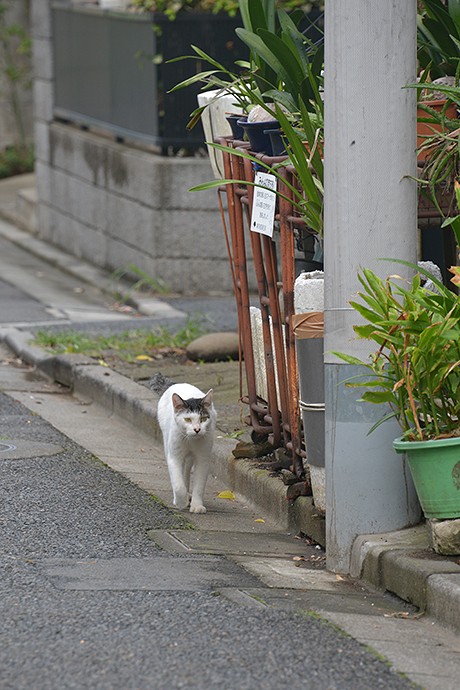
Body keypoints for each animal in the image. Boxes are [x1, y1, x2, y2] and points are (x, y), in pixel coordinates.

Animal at [150, 370, 217, 510]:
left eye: (203, 419)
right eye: (187, 419)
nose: (197, 429)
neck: (191, 441)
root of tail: (178, 383)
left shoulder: (203, 458)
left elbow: (199, 485)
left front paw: (197, 506)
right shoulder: (174, 457)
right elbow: (178, 484)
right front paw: (181, 502)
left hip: (190, 457)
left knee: (186, 470)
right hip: (168, 443)